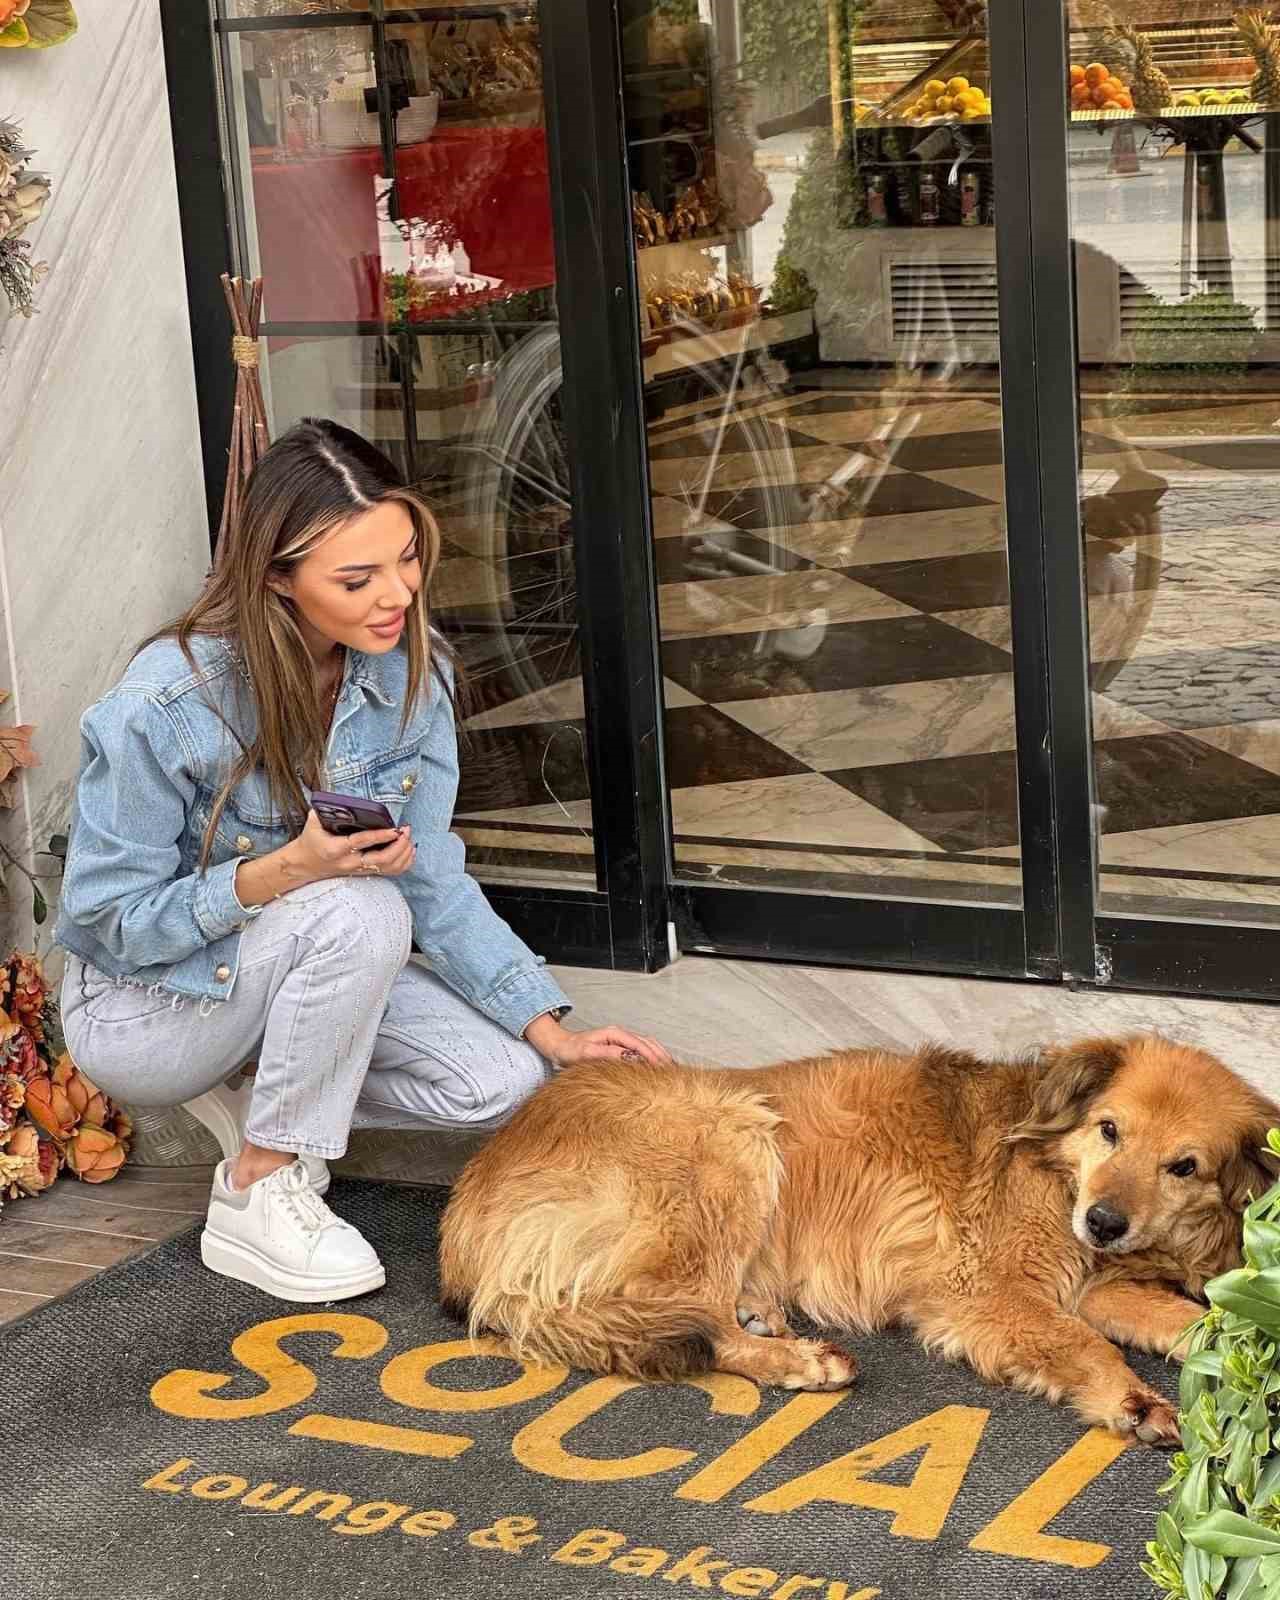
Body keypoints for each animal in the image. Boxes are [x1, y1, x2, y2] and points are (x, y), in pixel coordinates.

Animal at [441, 1036, 1280, 1452]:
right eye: (1110, 1129)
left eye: (1184, 1166)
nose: (1104, 1223)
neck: (1056, 1165)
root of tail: (469, 1200)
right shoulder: (986, 1291)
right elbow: (1081, 1342)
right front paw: (1133, 1401)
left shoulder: (1102, 1281)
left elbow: (1191, 1320)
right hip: (733, 1132)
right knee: (692, 1322)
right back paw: (799, 1360)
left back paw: (764, 1315)